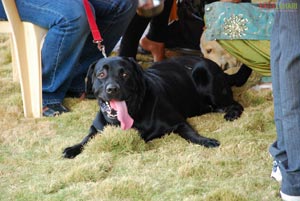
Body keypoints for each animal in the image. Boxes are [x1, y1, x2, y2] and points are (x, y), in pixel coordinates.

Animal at [63, 55, 244, 158]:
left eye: (124, 74)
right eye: (101, 74)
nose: (112, 89)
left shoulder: (178, 121)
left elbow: (190, 134)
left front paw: (206, 141)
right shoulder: (97, 128)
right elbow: (87, 138)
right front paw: (73, 148)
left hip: (205, 75)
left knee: (236, 103)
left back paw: (231, 113)